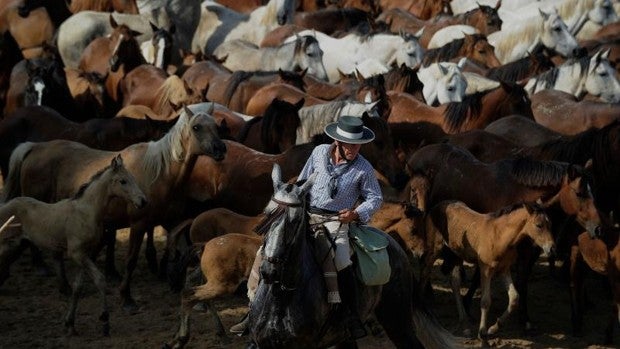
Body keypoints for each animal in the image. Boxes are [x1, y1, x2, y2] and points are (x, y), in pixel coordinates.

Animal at [0, 106, 228, 310]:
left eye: (217, 127)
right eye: (196, 127)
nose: (221, 149)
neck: (160, 174)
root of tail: (33, 148)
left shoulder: (173, 223)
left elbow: (185, 253)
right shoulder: (139, 224)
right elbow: (131, 260)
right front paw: (126, 298)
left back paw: (62, 286)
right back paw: (43, 270)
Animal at [245, 164, 458, 348]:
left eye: (295, 220)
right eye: (267, 214)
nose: (269, 270)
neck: (281, 297)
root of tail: (396, 249)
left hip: (398, 322)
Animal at [424, 200, 556, 344]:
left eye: (550, 224)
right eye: (539, 225)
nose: (552, 248)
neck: (499, 236)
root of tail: (438, 205)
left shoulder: (504, 269)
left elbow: (514, 297)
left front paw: (493, 328)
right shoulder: (486, 270)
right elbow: (486, 301)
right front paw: (482, 333)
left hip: (457, 254)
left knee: (455, 282)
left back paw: (464, 322)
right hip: (433, 251)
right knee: (424, 272)